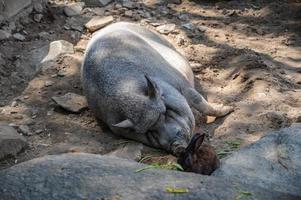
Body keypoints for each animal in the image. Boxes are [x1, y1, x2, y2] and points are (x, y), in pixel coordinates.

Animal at [80, 22, 232, 156]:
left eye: (166, 112)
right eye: (149, 132)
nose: (177, 147)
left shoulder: (181, 83)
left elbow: (200, 102)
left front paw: (229, 109)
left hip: (167, 44)